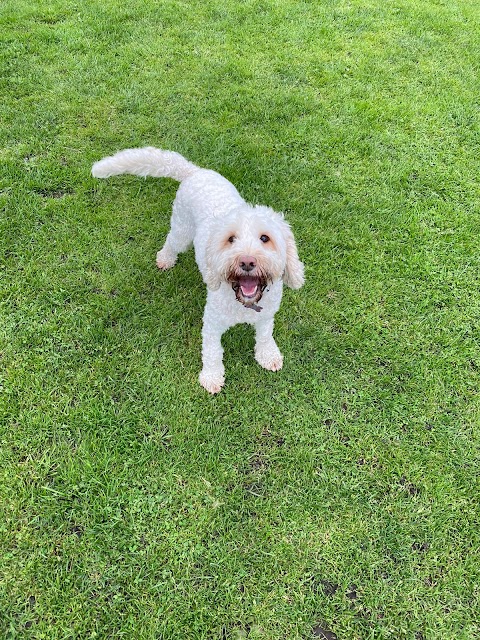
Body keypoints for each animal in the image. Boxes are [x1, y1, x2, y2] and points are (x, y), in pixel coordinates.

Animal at [92, 148, 304, 392]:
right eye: (231, 239)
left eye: (265, 238)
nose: (247, 262)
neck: (244, 304)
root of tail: (195, 171)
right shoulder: (212, 323)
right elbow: (212, 352)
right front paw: (212, 377)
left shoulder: (266, 316)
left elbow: (265, 336)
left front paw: (268, 356)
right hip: (182, 230)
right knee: (170, 242)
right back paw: (165, 259)